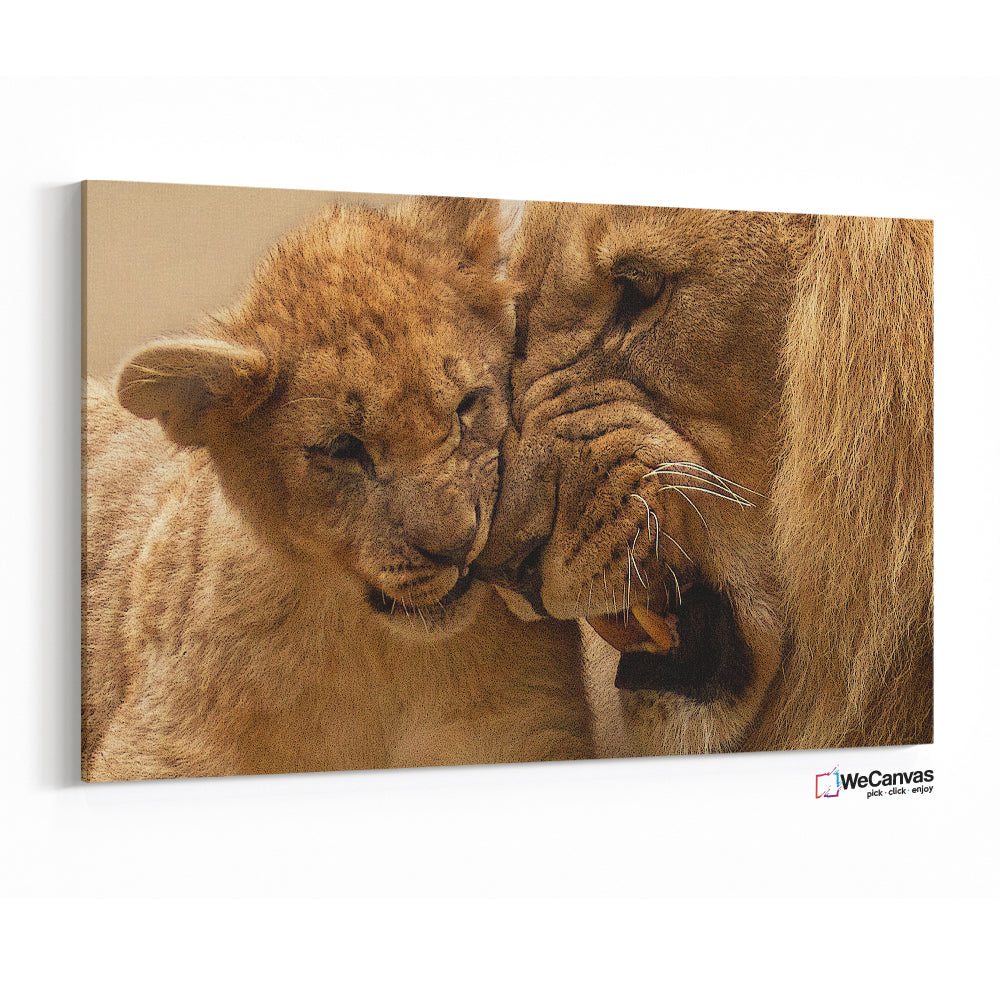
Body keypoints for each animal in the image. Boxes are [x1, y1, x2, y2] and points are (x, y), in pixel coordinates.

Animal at [82, 196, 592, 781]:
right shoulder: (156, 748)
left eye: (467, 405)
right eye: (343, 448)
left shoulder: (530, 732)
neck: (381, 658)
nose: (460, 546)